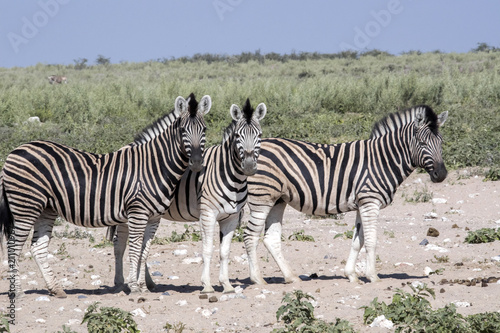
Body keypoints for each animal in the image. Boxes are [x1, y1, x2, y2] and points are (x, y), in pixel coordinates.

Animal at [0, 92, 211, 296]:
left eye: (205, 130)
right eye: (182, 130)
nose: (197, 163)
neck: (154, 165)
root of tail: (14, 151)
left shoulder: (154, 218)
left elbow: (144, 251)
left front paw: (143, 286)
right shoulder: (137, 213)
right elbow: (135, 250)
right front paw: (134, 288)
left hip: (46, 209)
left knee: (38, 247)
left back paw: (56, 289)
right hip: (26, 207)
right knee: (13, 246)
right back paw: (17, 292)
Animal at [108, 98, 266, 294]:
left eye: (260, 135)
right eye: (237, 136)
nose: (250, 166)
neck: (230, 175)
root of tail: (126, 145)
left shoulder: (231, 217)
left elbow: (224, 252)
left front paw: (227, 285)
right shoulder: (208, 214)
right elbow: (207, 249)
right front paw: (207, 285)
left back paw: (147, 283)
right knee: (120, 244)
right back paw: (121, 282)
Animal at [238, 105, 450, 286]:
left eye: (441, 142)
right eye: (422, 142)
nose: (441, 175)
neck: (383, 160)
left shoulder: (362, 203)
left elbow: (358, 241)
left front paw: (351, 275)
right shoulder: (370, 201)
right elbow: (371, 240)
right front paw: (372, 276)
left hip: (277, 200)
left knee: (270, 239)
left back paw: (291, 277)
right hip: (262, 198)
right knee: (250, 236)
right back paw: (258, 279)